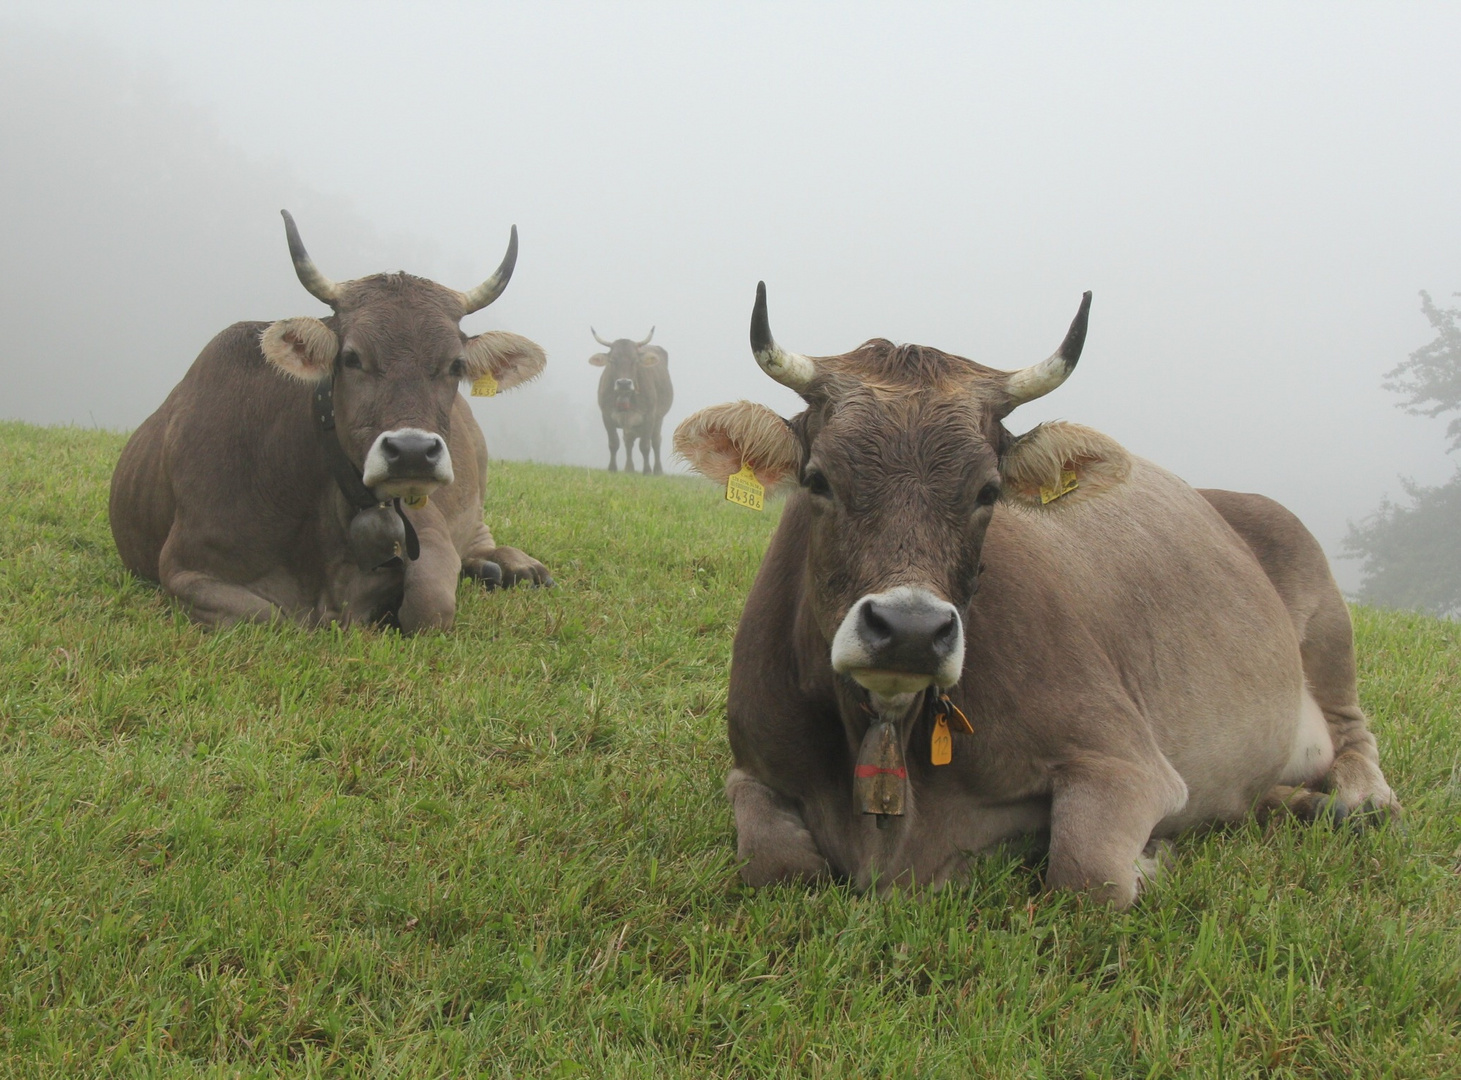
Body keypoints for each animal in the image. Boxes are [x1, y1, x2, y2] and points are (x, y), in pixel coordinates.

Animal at [109, 211, 552, 634]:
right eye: (351, 357)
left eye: (456, 365)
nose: (412, 453)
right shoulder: (183, 568)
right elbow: (267, 618)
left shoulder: (427, 528)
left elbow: (429, 607)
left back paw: (513, 565)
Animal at [587, 328, 672, 473]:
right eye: (612, 360)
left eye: (635, 361)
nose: (624, 383)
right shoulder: (606, 416)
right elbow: (614, 443)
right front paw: (612, 468)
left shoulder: (649, 417)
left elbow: (645, 445)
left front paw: (647, 471)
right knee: (628, 441)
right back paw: (629, 469)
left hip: (659, 418)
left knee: (656, 441)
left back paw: (657, 470)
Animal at [674, 283, 1402, 906]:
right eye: (819, 480)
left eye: (988, 491)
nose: (909, 631)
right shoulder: (752, 767)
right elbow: (776, 864)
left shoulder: (1125, 758)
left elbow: (1086, 873)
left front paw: (1151, 861)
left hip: (1325, 616)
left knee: (1352, 733)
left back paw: (1358, 802)